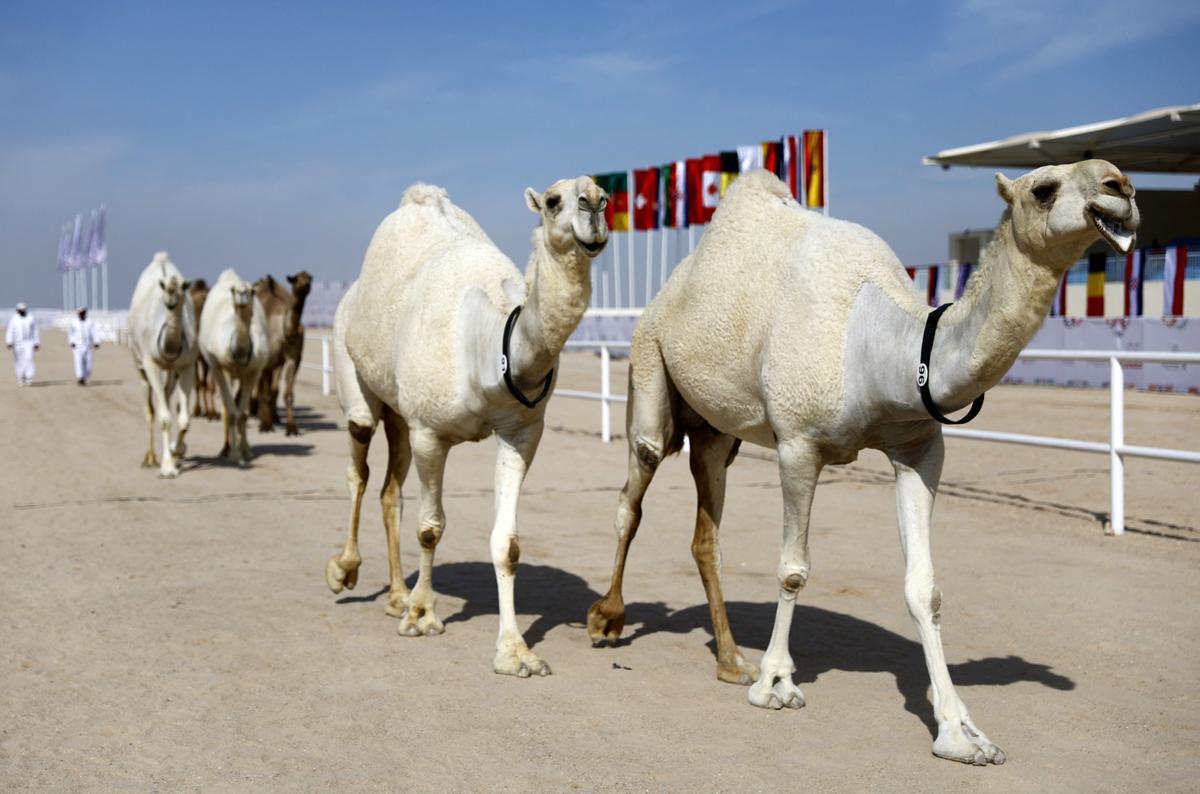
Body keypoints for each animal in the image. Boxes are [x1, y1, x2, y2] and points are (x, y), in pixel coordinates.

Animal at [127, 253, 198, 479]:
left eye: (183, 286)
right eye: (164, 285)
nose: (171, 297)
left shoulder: (187, 365)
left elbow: (184, 418)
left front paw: (177, 451)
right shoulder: (151, 364)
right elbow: (165, 418)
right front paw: (167, 467)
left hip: (171, 372)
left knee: (164, 398)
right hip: (140, 365)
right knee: (150, 409)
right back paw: (150, 458)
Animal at [199, 268, 267, 467]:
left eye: (252, 291)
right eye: (233, 290)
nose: (242, 295)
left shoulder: (253, 371)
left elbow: (243, 413)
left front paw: (246, 451)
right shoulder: (224, 369)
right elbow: (232, 412)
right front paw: (235, 455)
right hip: (215, 368)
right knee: (225, 408)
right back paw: (225, 449)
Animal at [326, 176, 609, 676]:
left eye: (607, 197)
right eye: (553, 200)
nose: (592, 206)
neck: (492, 345)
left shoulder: (522, 432)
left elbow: (507, 543)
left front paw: (515, 653)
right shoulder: (429, 432)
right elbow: (430, 527)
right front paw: (423, 616)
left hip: (400, 411)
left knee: (390, 490)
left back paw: (396, 596)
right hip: (355, 374)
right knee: (358, 467)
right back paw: (346, 572)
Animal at [585, 161, 1137, 767]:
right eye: (1042, 188)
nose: (1121, 187)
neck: (884, 346)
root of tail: (668, 292)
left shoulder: (920, 448)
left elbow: (925, 588)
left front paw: (961, 733)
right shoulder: (798, 444)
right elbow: (793, 569)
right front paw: (776, 684)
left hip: (716, 432)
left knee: (706, 531)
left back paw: (730, 661)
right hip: (649, 362)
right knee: (633, 489)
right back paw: (607, 620)